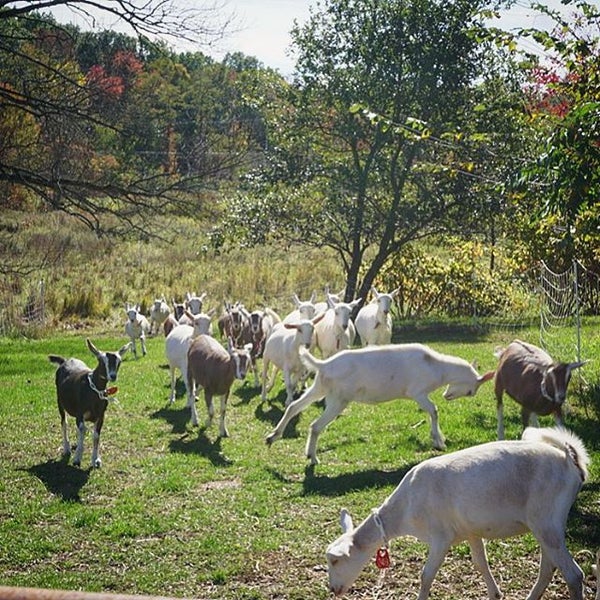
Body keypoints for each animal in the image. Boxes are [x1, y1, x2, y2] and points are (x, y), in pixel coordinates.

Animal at [49, 338, 130, 468]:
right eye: (101, 361)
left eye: (119, 362)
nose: (112, 376)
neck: (94, 391)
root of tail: (65, 360)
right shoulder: (80, 413)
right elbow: (82, 429)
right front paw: (77, 458)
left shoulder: (101, 415)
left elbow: (96, 436)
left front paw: (95, 460)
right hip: (59, 402)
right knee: (64, 422)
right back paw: (67, 449)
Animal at [266, 342, 492, 464]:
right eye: (471, 391)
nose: (447, 396)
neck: (435, 365)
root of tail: (324, 364)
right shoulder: (417, 392)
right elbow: (434, 410)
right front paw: (439, 441)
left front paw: (438, 439)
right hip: (338, 399)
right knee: (315, 425)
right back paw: (313, 458)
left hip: (320, 388)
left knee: (293, 407)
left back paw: (273, 437)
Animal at [326, 426, 588, 600]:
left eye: (336, 560)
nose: (332, 588)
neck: (405, 510)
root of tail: (570, 460)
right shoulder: (470, 531)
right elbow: (480, 563)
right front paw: (495, 593)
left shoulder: (441, 537)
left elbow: (426, 575)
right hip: (544, 523)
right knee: (548, 568)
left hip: (547, 519)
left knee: (574, 575)